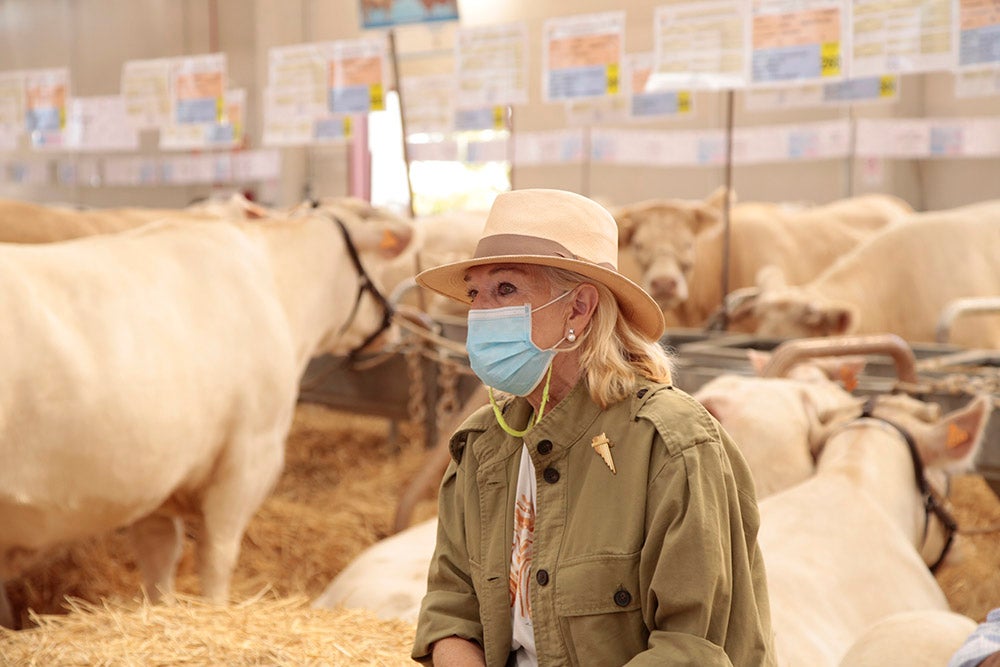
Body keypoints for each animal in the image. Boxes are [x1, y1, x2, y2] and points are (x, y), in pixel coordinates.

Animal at [0, 211, 414, 628]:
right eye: (382, 268)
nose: (395, 328)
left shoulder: (156, 478)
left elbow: (159, 555)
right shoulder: (249, 457)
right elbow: (218, 556)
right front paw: (215, 612)